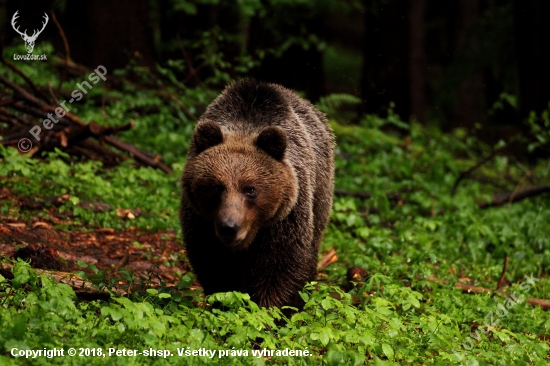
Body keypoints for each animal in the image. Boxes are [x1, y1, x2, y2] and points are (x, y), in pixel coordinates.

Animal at [181, 78, 336, 308]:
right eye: (216, 187)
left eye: (250, 189)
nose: (229, 227)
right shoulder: (202, 222)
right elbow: (213, 265)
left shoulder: (283, 221)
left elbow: (281, 268)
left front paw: (269, 308)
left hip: (320, 193)